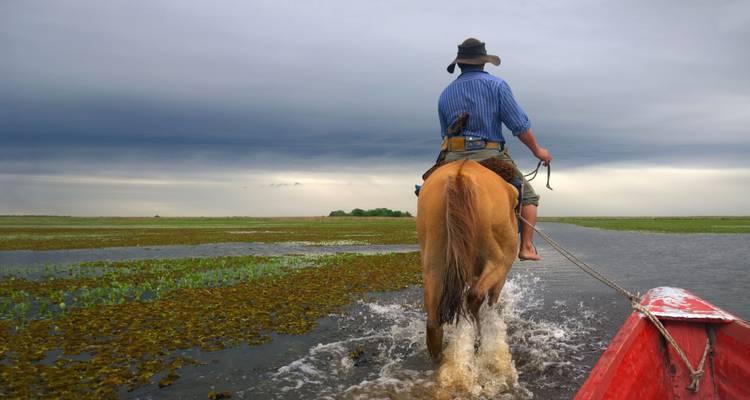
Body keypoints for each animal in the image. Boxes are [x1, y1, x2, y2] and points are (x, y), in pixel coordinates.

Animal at [417, 159, 519, 361]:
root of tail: (460, 174)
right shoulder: (500, 275)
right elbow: (492, 300)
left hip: (433, 261)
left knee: (433, 322)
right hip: (499, 260)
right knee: (474, 297)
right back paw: (478, 343)